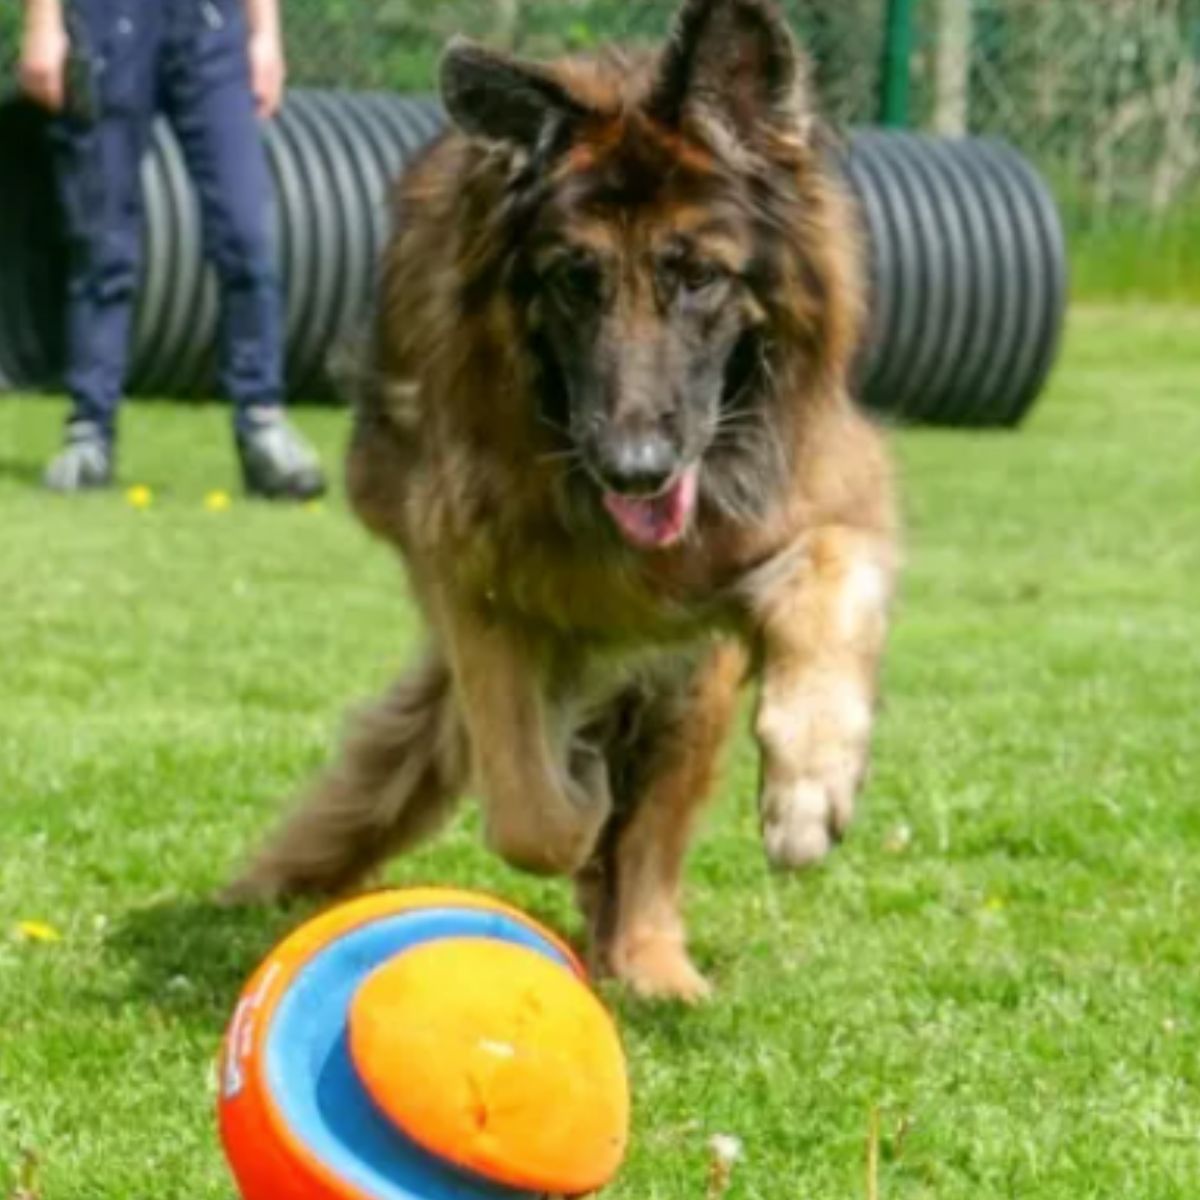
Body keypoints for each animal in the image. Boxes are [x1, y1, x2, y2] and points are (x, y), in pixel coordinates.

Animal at [229, 0, 897, 1003]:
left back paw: (652, 957)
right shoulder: (475, 583)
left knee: (654, 835)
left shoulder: (815, 502)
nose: (635, 468)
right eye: (574, 280)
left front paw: (811, 784)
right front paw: (576, 789)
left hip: (692, 680)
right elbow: (531, 808)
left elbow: (833, 580)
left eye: (699, 276)